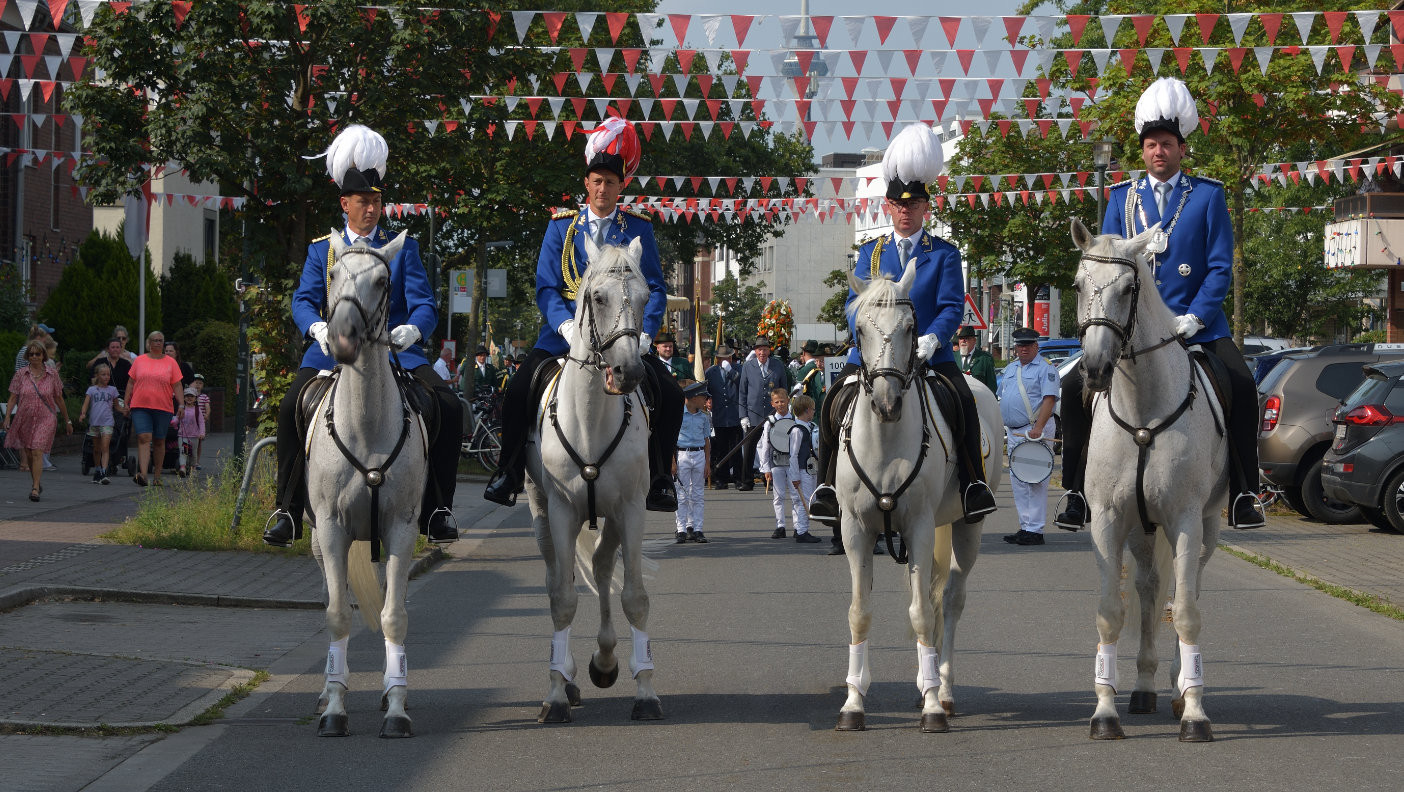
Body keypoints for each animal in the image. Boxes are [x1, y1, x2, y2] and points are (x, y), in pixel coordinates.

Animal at [527, 234, 662, 724]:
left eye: (645, 296)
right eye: (598, 297)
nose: (629, 371)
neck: (590, 418)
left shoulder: (632, 507)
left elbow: (635, 597)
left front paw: (645, 691)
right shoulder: (562, 510)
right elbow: (563, 600)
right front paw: (553, 695)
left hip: (613, 513)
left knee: (603, 565)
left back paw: (603, 662)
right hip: (542, 512)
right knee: (558, 578)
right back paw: (566, 679)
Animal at [825, 262, 1005, 735]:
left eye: (911, 327)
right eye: (859, 329)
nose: (887, 403)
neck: (886, 439)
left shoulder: (921, 527)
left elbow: (923, 612)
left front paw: (931, 709)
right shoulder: (855, 531)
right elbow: (860, 612)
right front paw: (853, 704)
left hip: (966, 527)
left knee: (951, 601)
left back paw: (942, 689)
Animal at [1072, 217, 1229, 741]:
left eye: (1128, 287)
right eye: (1077, 286)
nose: (1095, 368)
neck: (1144, 409)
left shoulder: (1185, 520)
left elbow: (1186, 614)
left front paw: (1196, 713)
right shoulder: (1107, 520)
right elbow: (1110, 613)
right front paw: (1105, 711)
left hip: (1207, 526)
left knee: (1185, 591)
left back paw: (1181, 689)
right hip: (1141, 530)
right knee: (1146, 588)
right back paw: (1142, 688)